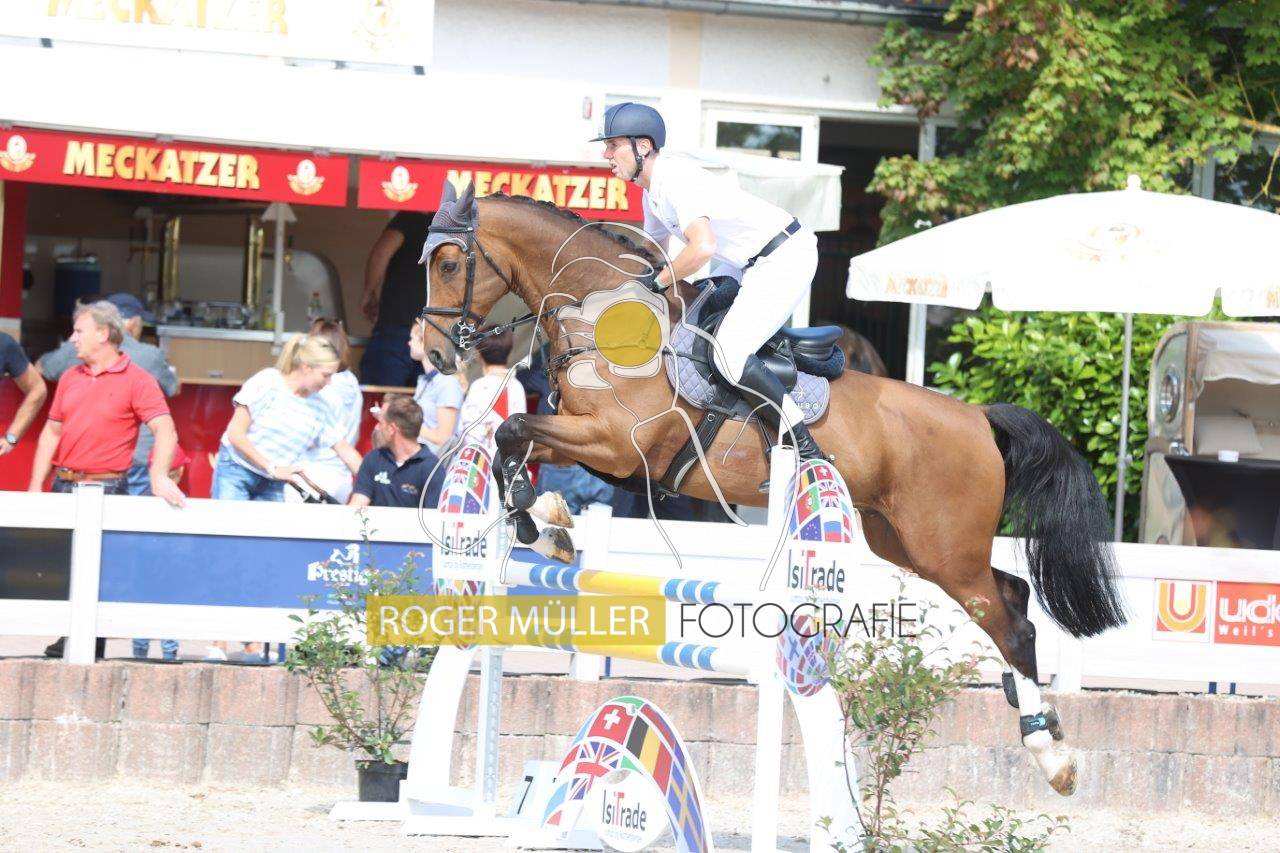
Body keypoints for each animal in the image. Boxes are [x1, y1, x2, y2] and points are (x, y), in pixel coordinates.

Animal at [416, 183, 1126, 796]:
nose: (433, 352)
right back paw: (1043, 726)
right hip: (906, 542)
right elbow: (512, 442)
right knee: (1013, 595)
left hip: (944, 546)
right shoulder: (597, 447)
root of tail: (978, 417)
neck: (606, 319)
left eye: (449, 263)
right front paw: (548, 526)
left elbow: (513, 429)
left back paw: (1052, 756)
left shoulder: (618, 444)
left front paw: (542, 522)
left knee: (1011, 623)